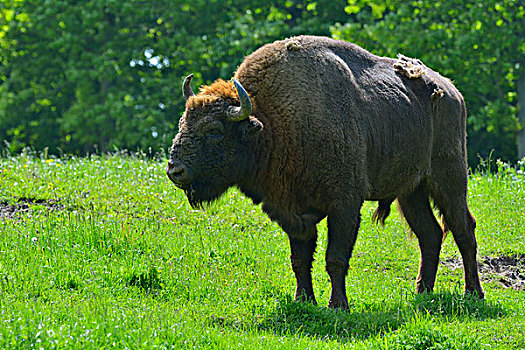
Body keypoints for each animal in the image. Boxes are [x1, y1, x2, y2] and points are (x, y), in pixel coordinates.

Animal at [168, 36, 484, 308]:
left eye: (214, 130)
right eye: (183, 121)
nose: (175, 170)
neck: (271, 120)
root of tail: (452, 92)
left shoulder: (344, 205)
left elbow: (335, 258)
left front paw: (338, 305)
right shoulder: (291, 213)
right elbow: (300, 259)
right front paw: (304, 300)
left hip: (449, 179)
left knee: (463, 229)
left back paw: (473, 293)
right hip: (411, 192)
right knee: (430, 234)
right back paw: (422, 292)